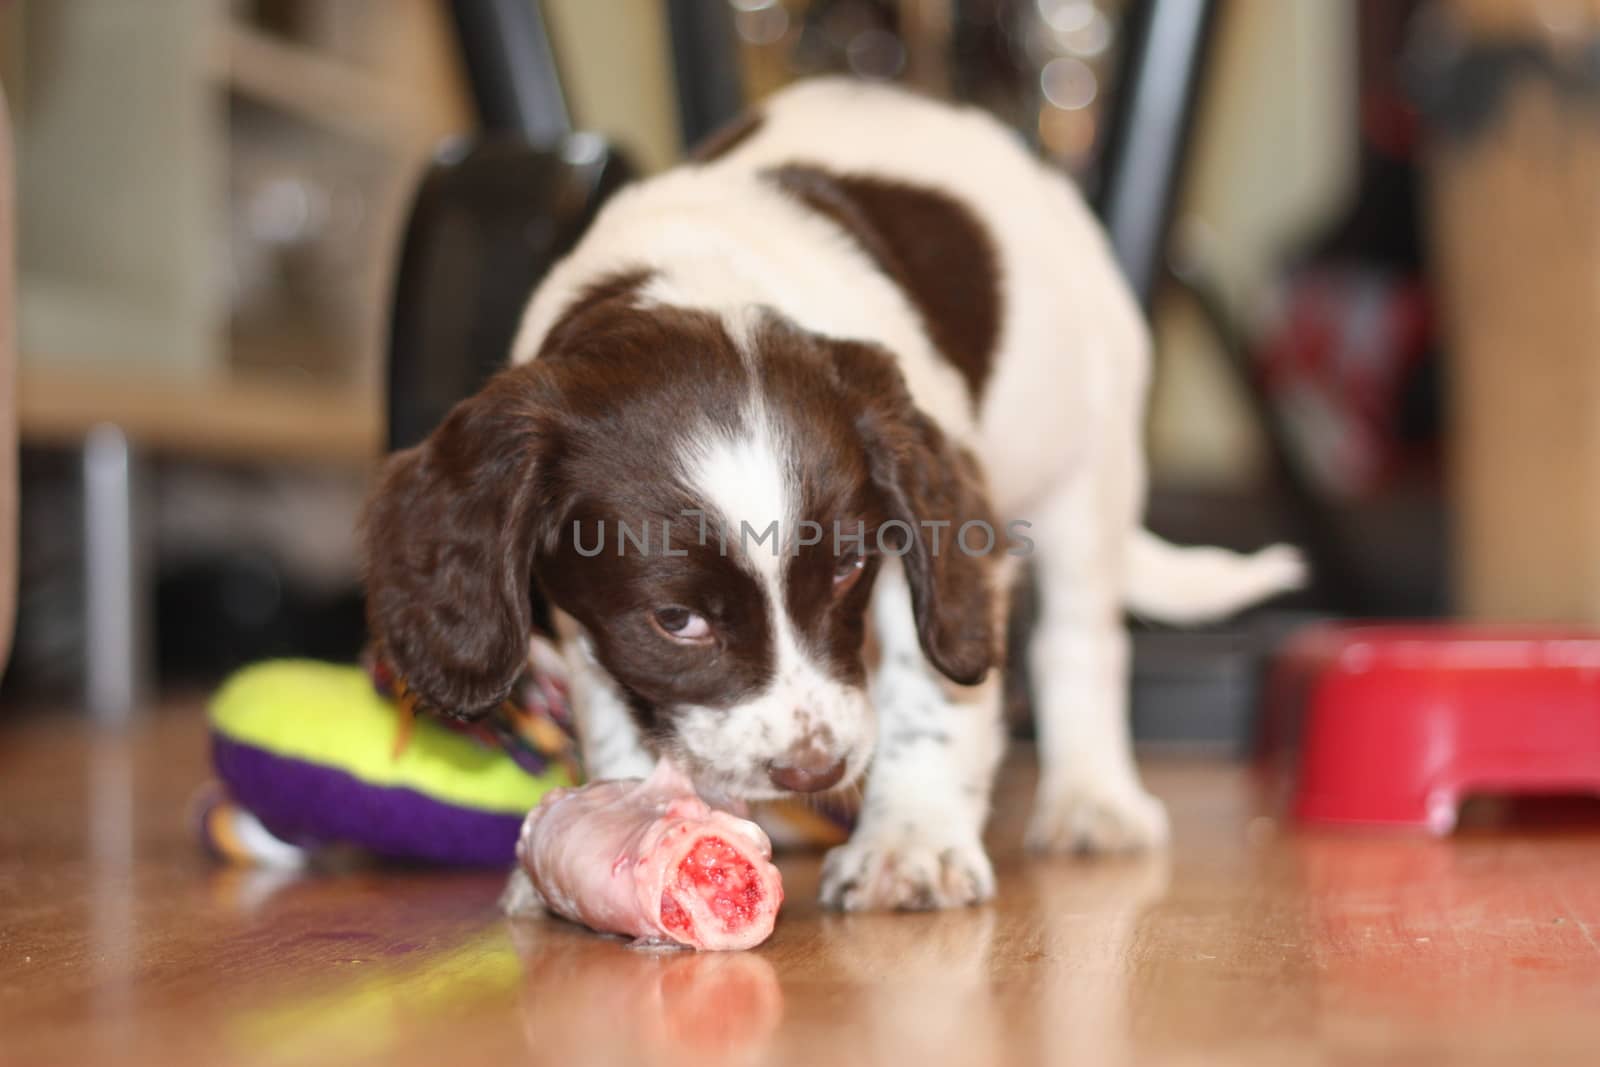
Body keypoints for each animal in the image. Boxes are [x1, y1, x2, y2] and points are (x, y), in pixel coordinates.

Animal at [360, 79, 1299, 915]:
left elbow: (931, 688)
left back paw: (1093, 799)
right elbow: (622, 709)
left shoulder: (932, 536)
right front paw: (621, 819)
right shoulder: (594, 623)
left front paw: (909, 842)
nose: (812, 772)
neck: (687, 281)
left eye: (848, 573)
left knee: (1081, 640)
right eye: (677, 620)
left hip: (1088, 461)